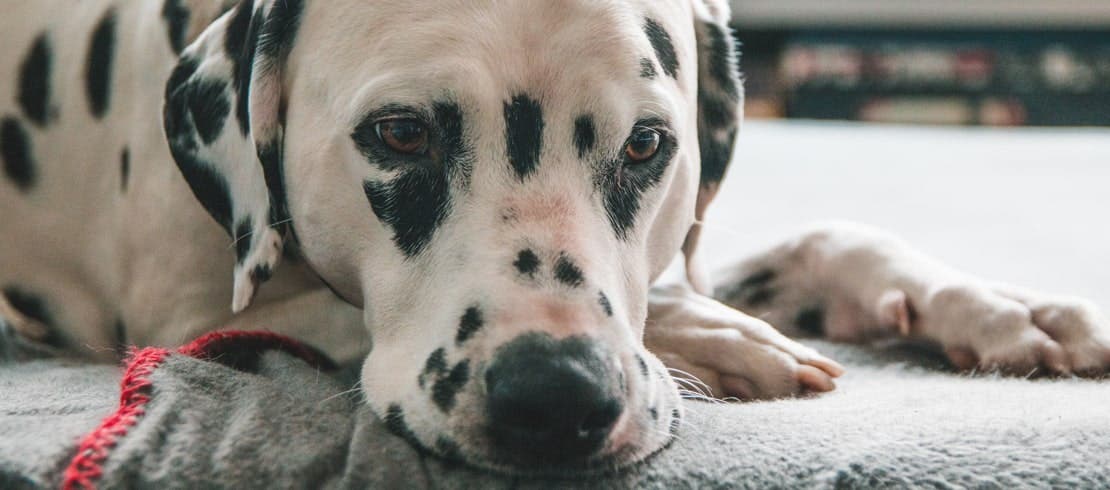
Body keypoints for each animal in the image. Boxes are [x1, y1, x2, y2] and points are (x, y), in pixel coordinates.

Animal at [2, 0, 1110, 473]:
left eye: (647, 143)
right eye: (400, 133)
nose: (559, 398)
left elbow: (818, 236)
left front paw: (1003, 306)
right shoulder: (192, 306)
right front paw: (719, 340)